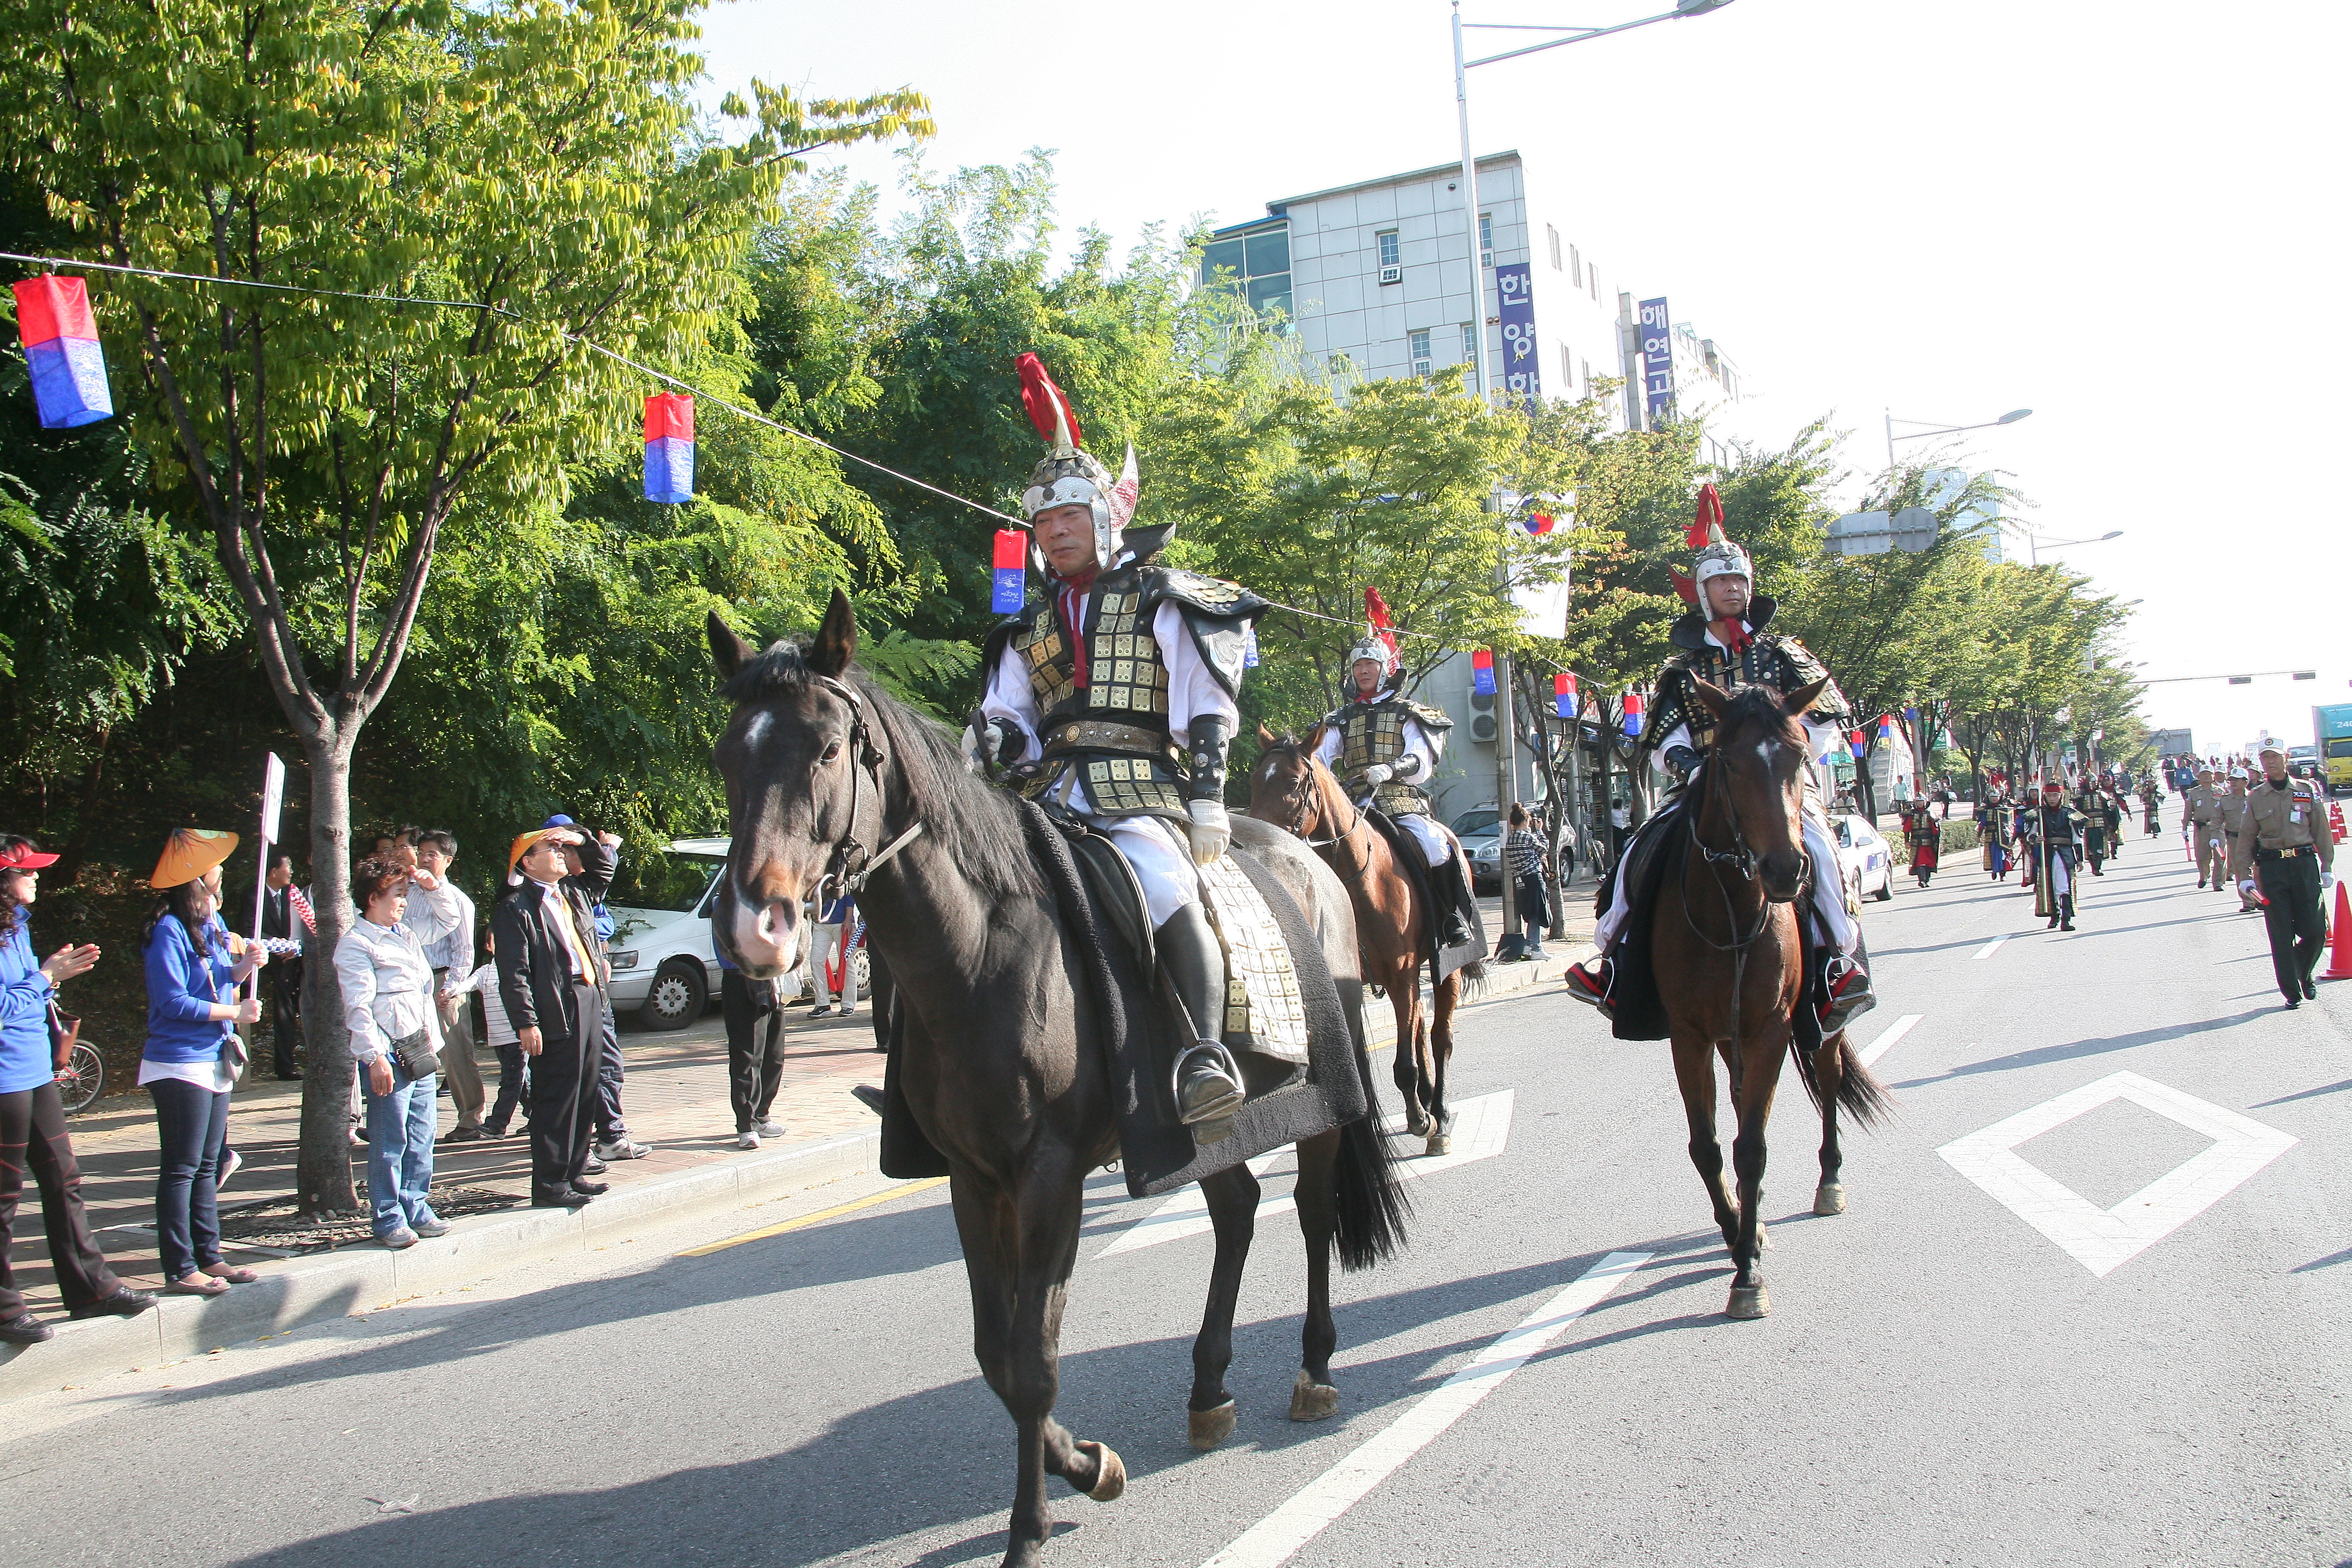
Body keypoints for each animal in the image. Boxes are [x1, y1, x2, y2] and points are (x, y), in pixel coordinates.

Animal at [696, 592, 1392, 1568]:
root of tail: (1308, 858)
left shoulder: (1049, 1173)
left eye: (828, 750)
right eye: (729, 754)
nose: (752, 930)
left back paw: (1315, 1369)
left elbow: (1035, 1356)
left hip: (1324, 1099)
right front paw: (1086, 1464)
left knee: (1310, 1207)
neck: (977, 952)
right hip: (1204, 1128)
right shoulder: (973, 1177)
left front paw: (1029, 1527)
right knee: (1237, 1212)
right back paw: (1208, 1389)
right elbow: (997, 1352)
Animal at [1251, 729, 1467, 1161]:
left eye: (1294, 782)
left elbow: (1405, 1062)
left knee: (1440, 1038)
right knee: (1420, 1027)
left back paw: (1439, 1116)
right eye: (1253, 780)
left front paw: (1420, 1119)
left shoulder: (1402, 974)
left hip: (1444, 970)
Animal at [1656, 682, 1891, 1316]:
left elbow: (1752, 1148)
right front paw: (1739, 1229)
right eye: (1730, 762)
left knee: (1830, 1083)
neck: (1729, 913)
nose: (1785, 870)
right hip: (1728, 1037)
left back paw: (1829, 1182)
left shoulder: (1770, 1028)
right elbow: (1709, 1146)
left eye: (1798, 754)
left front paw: (1748, 1272)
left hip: (1821, 1023)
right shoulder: (1690, 1035)